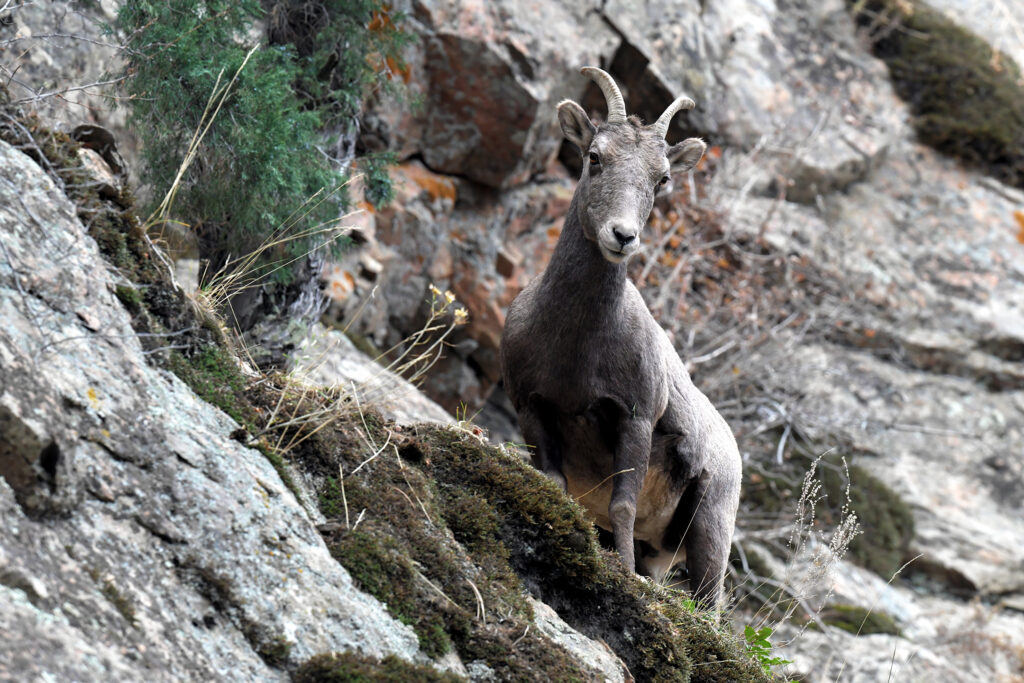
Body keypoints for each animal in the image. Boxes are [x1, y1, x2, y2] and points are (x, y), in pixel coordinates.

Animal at [499, 66, 741, 606]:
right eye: (594, 157)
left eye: (662, 178)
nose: (623, 236)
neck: (575, 344)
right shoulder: (533, 412)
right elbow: (555, 484)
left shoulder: (635, 421)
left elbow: (622, 507)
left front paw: (624, 578)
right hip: (666, 551)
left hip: (709, 536)